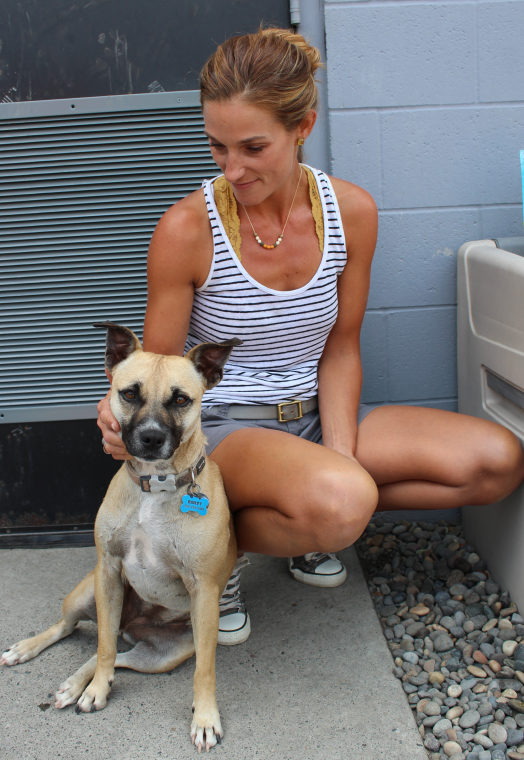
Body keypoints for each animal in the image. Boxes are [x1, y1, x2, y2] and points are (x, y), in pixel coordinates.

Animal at [0, 324, 239, 752]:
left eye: (181, 399)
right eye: (129, 393)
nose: (151, 438)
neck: (154, 486)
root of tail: (134, 624)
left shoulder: (204, 591)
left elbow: (205, 670)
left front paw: (205, 717)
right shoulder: (109, 569)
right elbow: (103, 645)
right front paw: (95, 690)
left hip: (164, 653)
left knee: (118, 655)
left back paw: (77, 683)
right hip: (88, 593)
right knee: (81, 632)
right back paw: (35, 654)